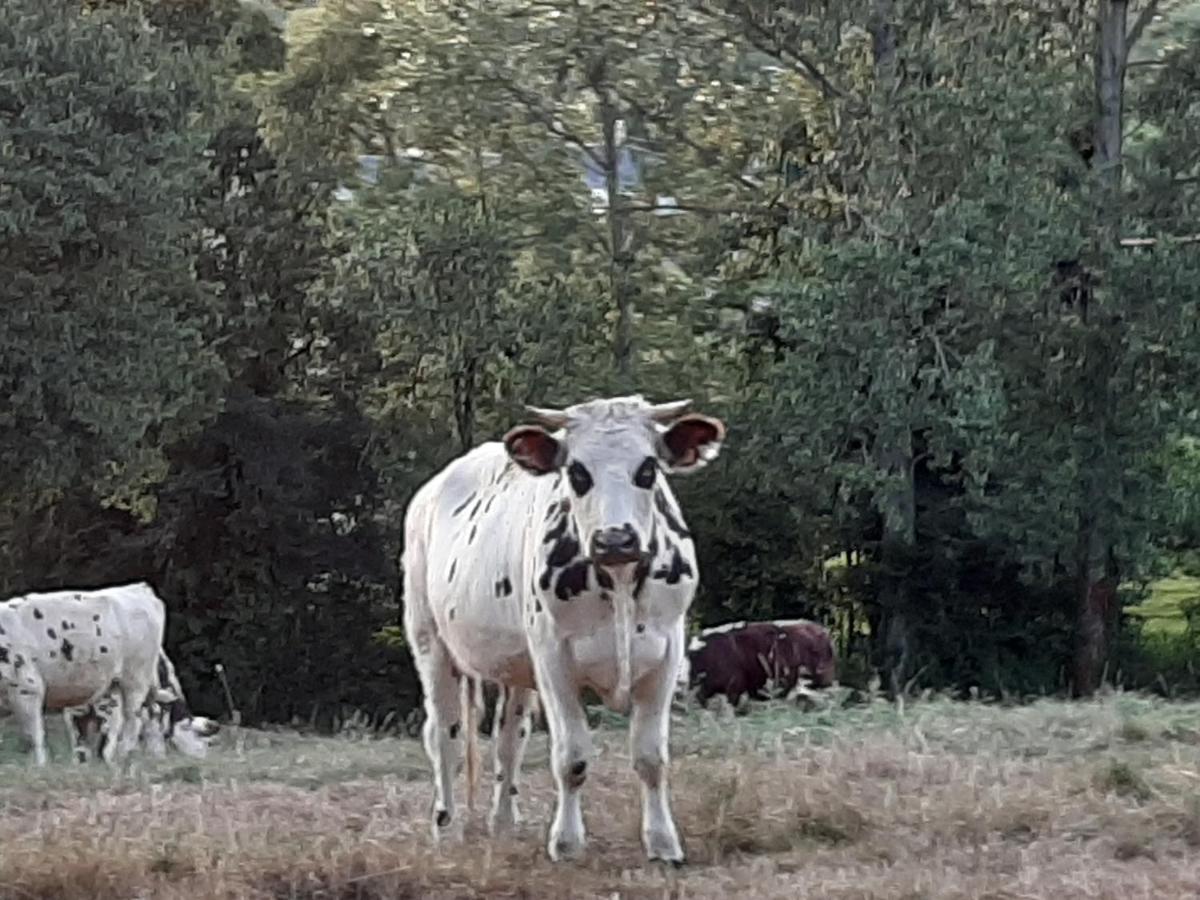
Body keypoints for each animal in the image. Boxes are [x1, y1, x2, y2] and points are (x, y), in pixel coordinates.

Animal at [0, 585, 180, 768]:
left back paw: (122, 756)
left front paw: (40, 767)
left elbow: (34, 735)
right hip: (111, 686)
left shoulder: (27, 687)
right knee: (126, 718)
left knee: (135, 719)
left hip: (136, 677)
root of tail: (139, 588)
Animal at [403, 393, 724, 868]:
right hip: (431, 641)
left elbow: (651, 757)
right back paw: (447, 828)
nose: (615, 539)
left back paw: (503, 823)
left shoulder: (666, 653)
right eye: (577, 471)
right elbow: (571, 758)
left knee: (509, 738)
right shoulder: (554, 658)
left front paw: (663, 843)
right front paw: (567, 843)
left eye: (648, 468)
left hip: (517, 666)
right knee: (445, 734)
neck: (619, 582)